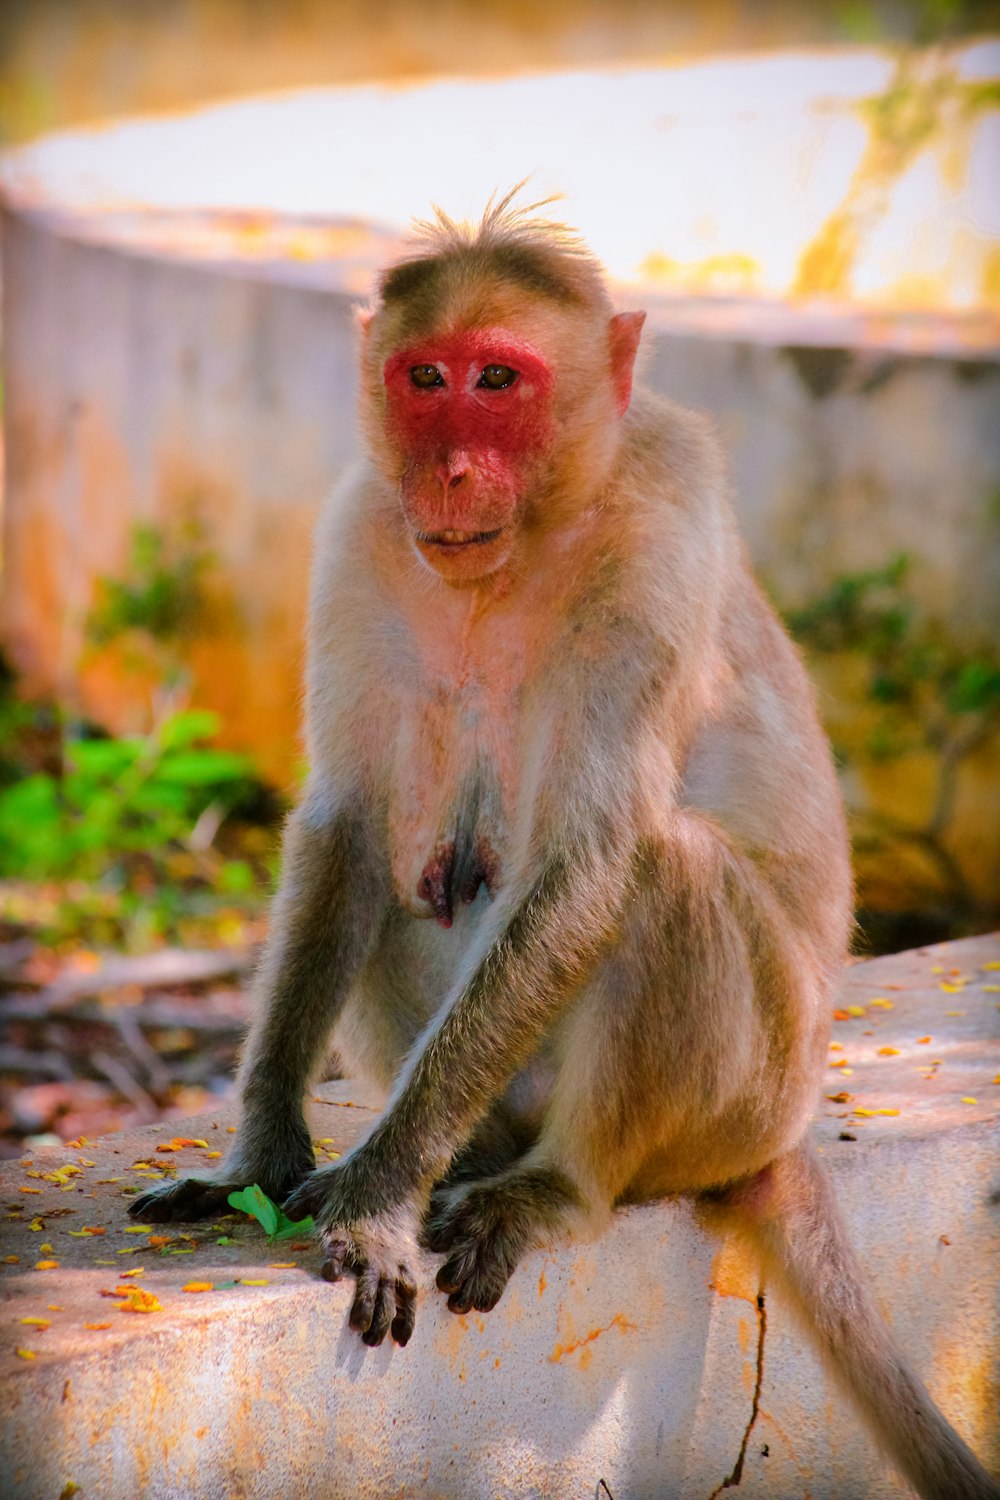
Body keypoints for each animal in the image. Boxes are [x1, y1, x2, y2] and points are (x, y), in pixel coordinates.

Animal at [128, 196, 995, 1500]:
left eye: (500, 381)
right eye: (426, 379)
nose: (449, 465)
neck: (528, 540)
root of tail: (784, 1134)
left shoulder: (660, 533)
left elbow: (590, 860)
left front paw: (378, 1194)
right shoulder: (361, 528)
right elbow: (349, 825)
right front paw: (260, 1158)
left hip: (741, 1104)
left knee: (662, 870)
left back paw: (557, 1188)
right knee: (409, 875)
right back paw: (466, 1154)